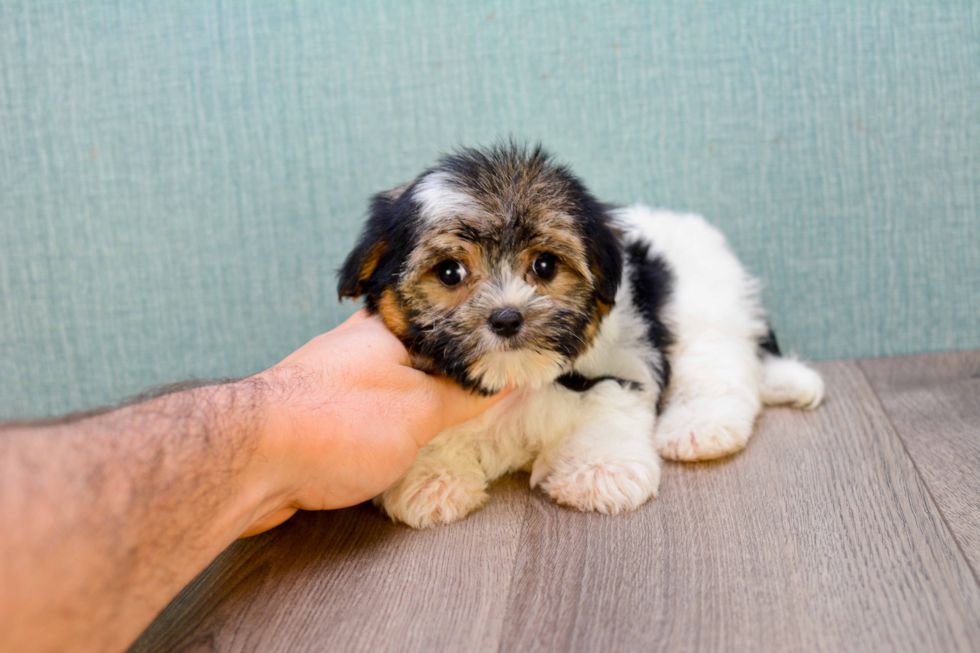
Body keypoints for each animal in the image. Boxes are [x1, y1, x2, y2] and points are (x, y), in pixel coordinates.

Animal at [340, 145, 824, 528]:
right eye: (449, 272)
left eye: (545, 265)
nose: (507, 317)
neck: (517, 380)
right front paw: (430, 477)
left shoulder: (619, 365)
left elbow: (607, 407)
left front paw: (600, 468)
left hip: (705, 308)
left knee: (718, 371)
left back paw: (700, 429)